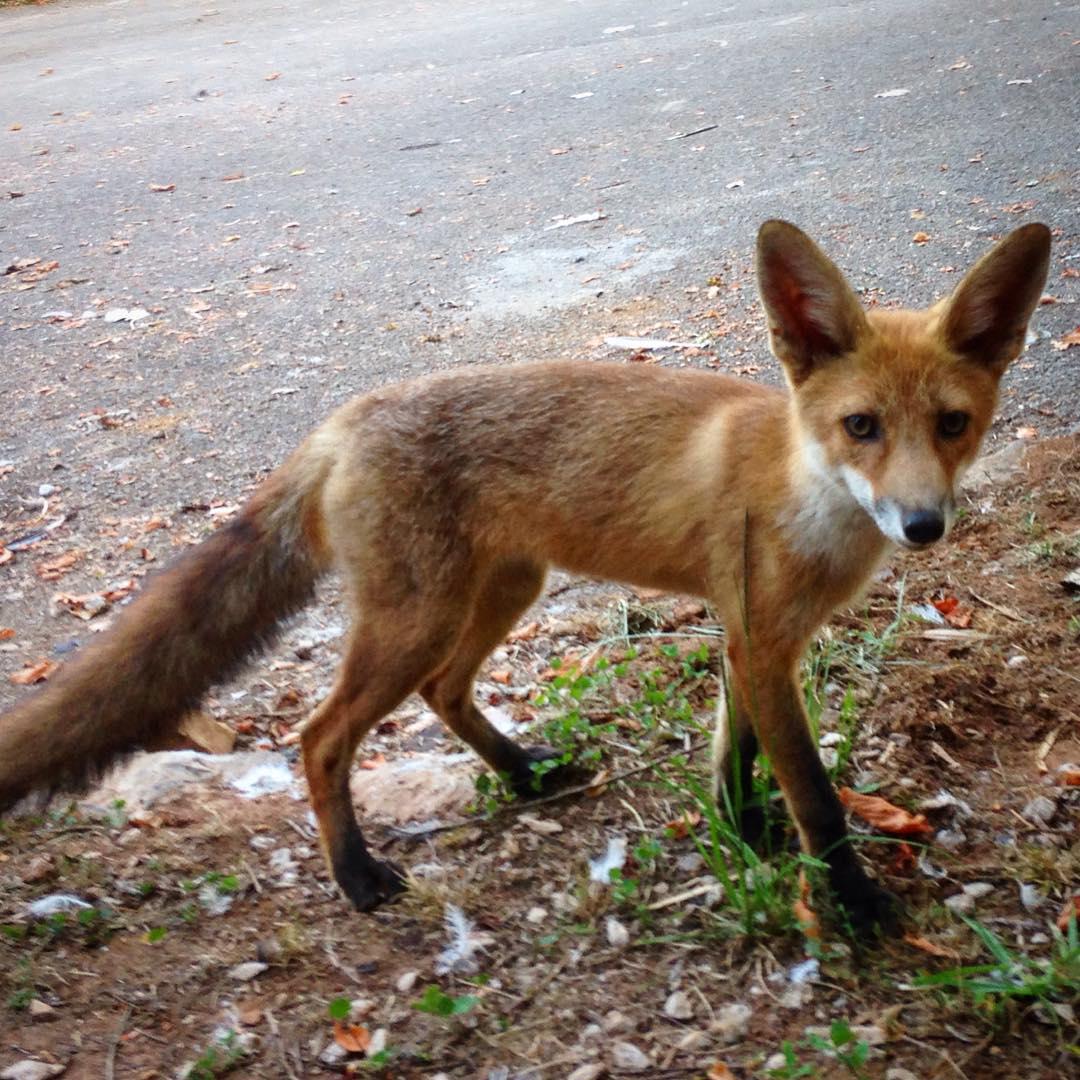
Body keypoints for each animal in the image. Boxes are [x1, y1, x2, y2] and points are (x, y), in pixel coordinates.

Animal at [0, 217, 1045, 928]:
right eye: (861, 426)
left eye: (952, 425)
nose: (922, 525)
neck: (803, 492)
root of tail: (346, 417)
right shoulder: (760, 643)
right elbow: (817, 797)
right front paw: (851, 902)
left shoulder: (752, 641)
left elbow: (734, 758)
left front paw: (744, 831)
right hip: (415, 618)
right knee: (321, 736)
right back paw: (357, 876)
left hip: (504, 592)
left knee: (444, 691)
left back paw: (520, 774)